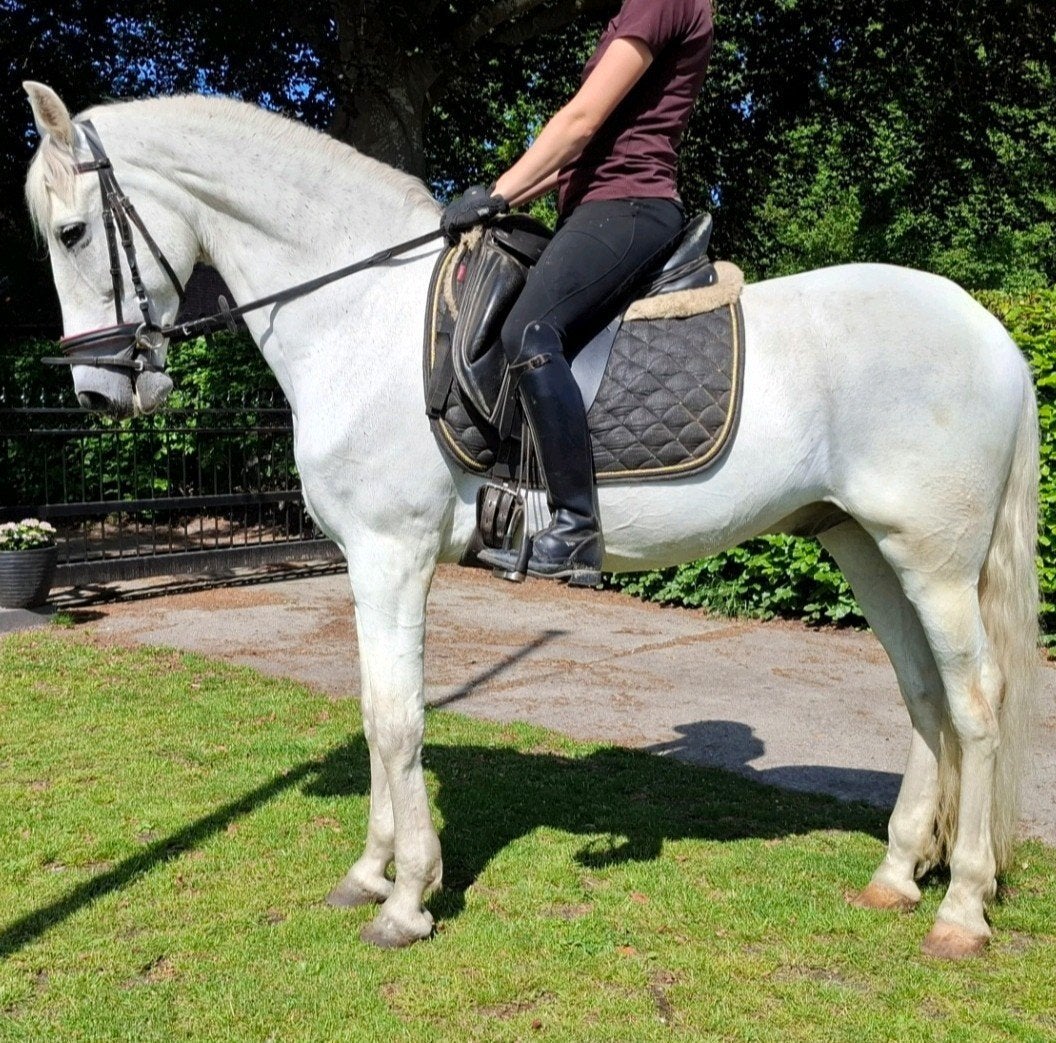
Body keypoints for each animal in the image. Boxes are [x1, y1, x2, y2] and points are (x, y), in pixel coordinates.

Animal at [22, 82, 1039, 958]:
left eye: (71, 231)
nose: (99, 390)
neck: (360, 314)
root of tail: (991, 331)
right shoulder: (364, 561)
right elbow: (374, 710)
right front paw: (370, 871)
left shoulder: (392, 555)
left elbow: (398, 719)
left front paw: (407, 898)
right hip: (863, 543)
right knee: (923, 696)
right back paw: (896, 876)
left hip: (934, 562)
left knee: (978, 703)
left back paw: (960, 909)